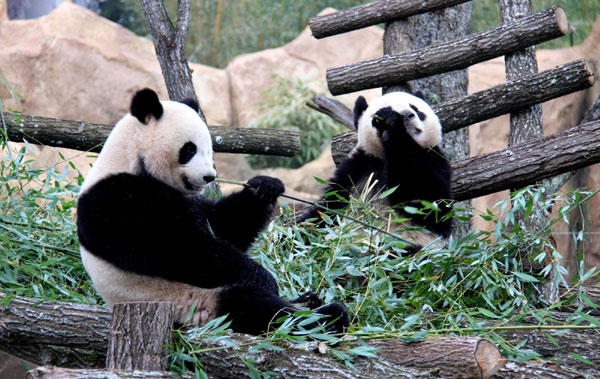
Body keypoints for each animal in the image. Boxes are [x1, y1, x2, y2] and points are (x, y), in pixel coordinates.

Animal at [75, 88, 350, 336]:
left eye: (210, 148)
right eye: (189, 149)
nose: (210, 177)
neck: (130, 158)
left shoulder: (191, 201)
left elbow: (225, 227)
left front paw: (265, 187)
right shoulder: (116, 200)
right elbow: (182, 250)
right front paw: (265, 278)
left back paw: (311, 302)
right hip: (192, 305)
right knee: (253, 306)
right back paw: (325, 317)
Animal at [298, 91, 452, 254]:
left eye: (416, 109)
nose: (406, 114)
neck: (385, 156)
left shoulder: (436, 160)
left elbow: (428, 204)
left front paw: (393, 126)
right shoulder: (358, 168)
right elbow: (328, 208)